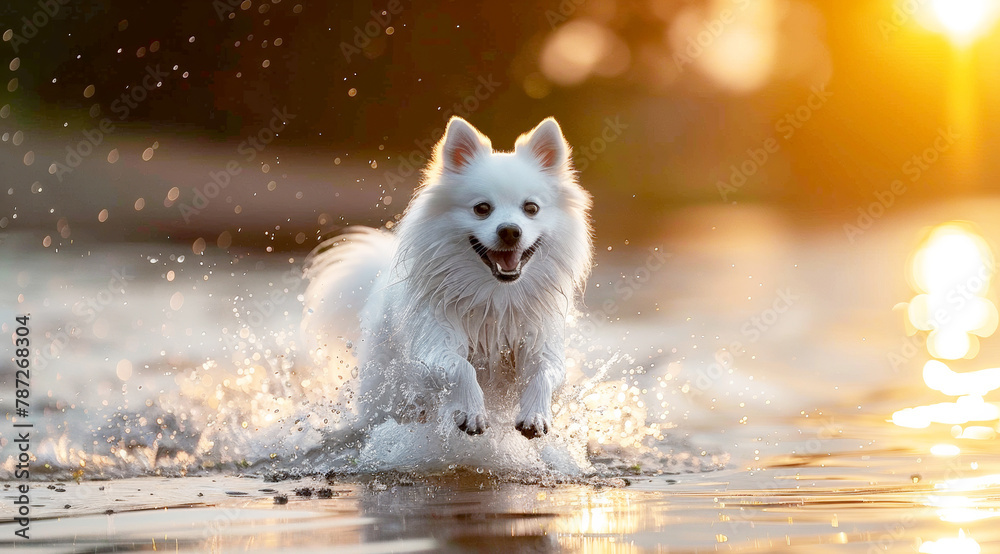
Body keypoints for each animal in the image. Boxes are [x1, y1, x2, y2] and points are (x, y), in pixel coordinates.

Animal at [300, 117, 588, 440]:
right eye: (482, 209)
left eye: (531, 208)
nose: (510, 230)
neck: (495, 297)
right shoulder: (434, 341)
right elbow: (460, 367)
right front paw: (471, 412)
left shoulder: (540, 341)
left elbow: (544, 373)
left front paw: (535, 415)